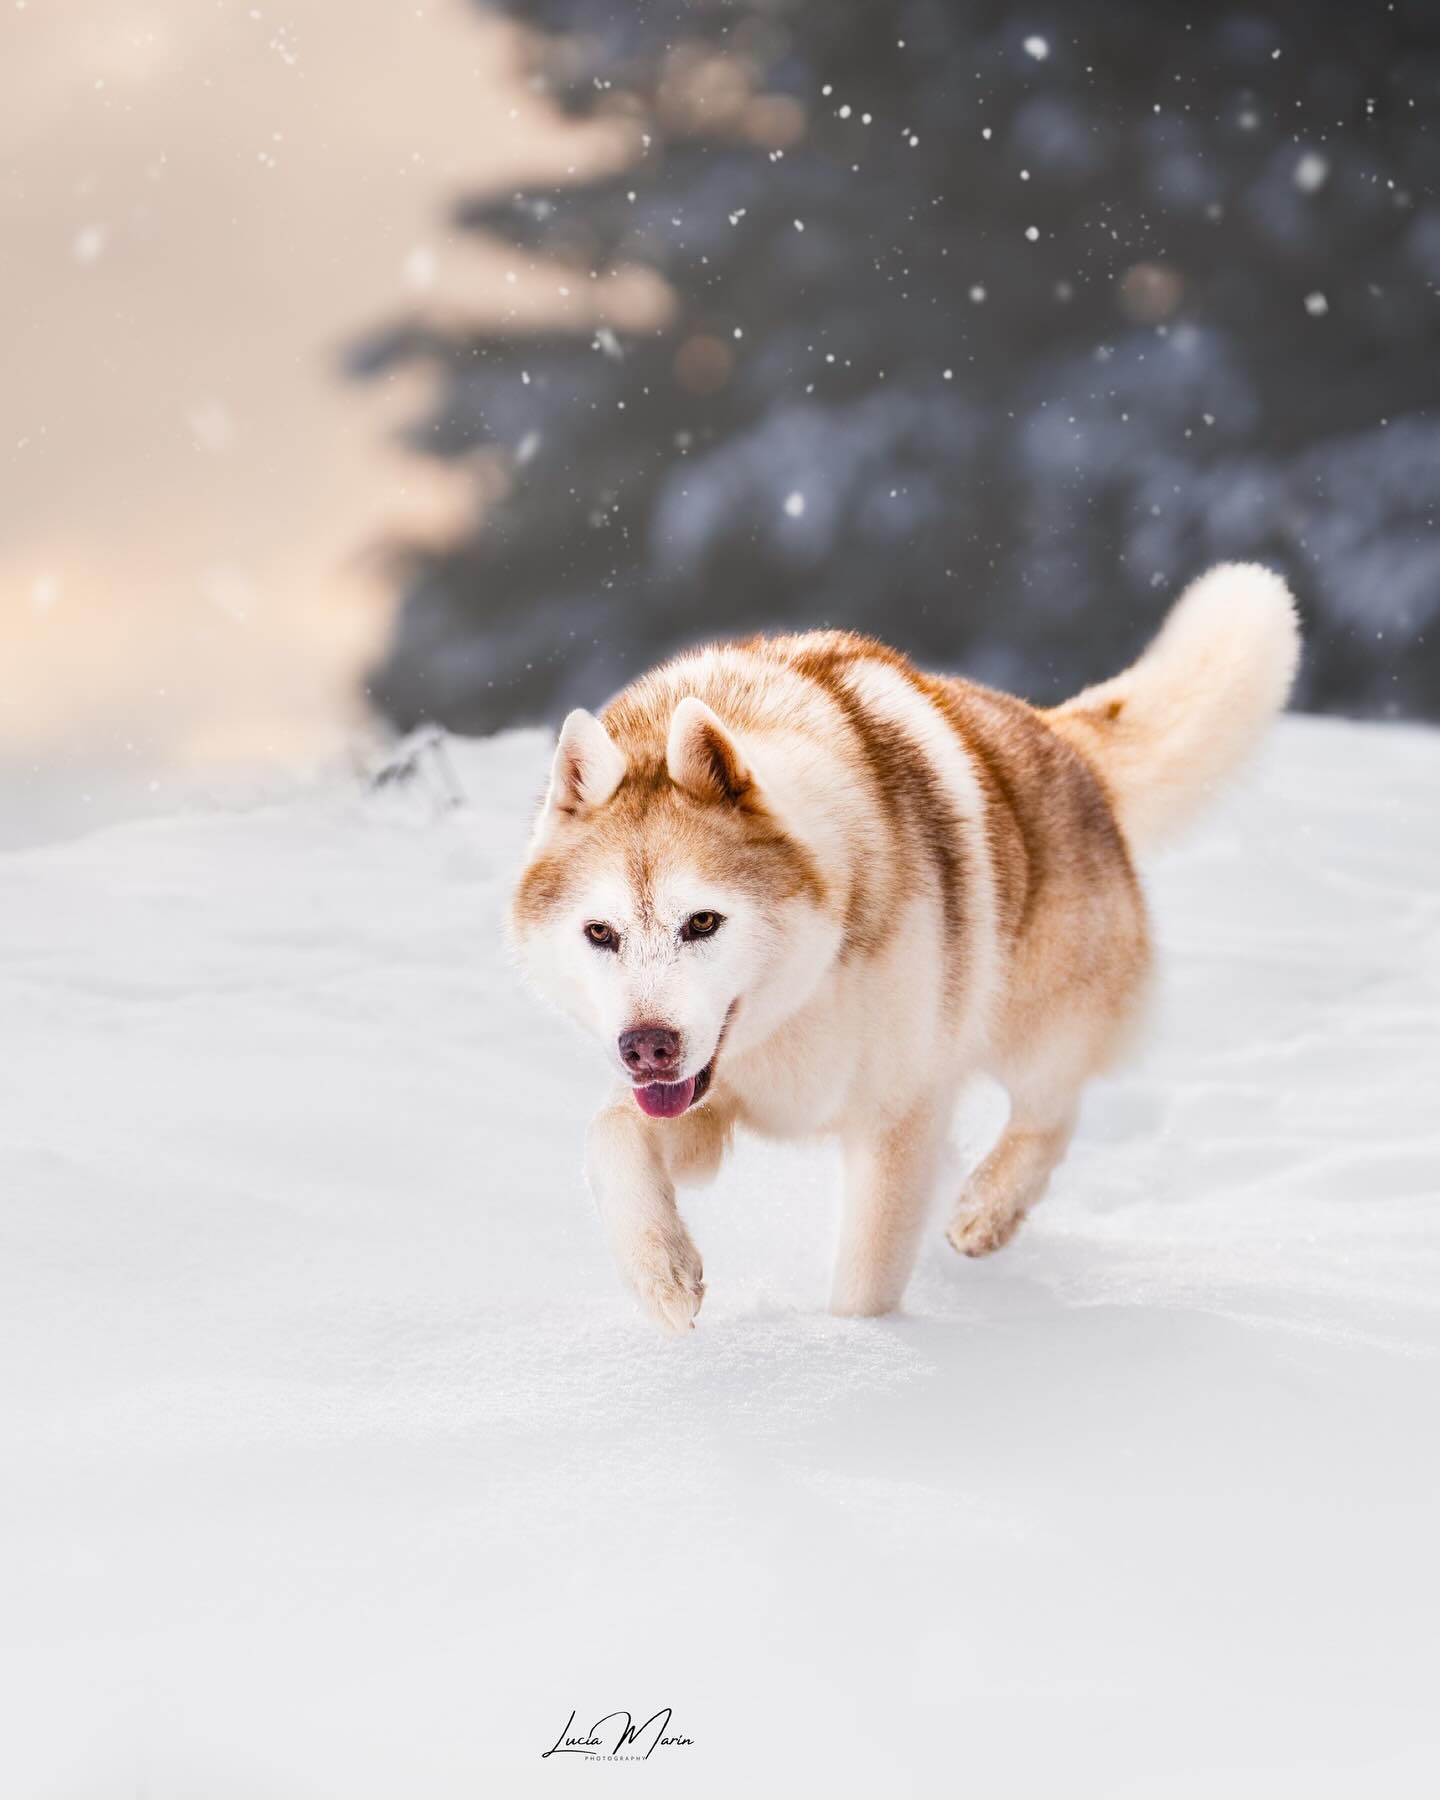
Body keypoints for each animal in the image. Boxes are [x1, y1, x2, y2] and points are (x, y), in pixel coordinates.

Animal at [510, 565, 1300, 1333]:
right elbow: (611, 1135)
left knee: (1051, 1112)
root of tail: (1054, 733)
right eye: (600, 933)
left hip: (1031, 1028)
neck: (801, 993)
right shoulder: (707, 1106)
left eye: (702, 923)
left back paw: (987, 1209)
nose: (646, 1046)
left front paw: (869, 1354)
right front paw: (663, 1275)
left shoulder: (896, 1114)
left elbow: (866, 1283)